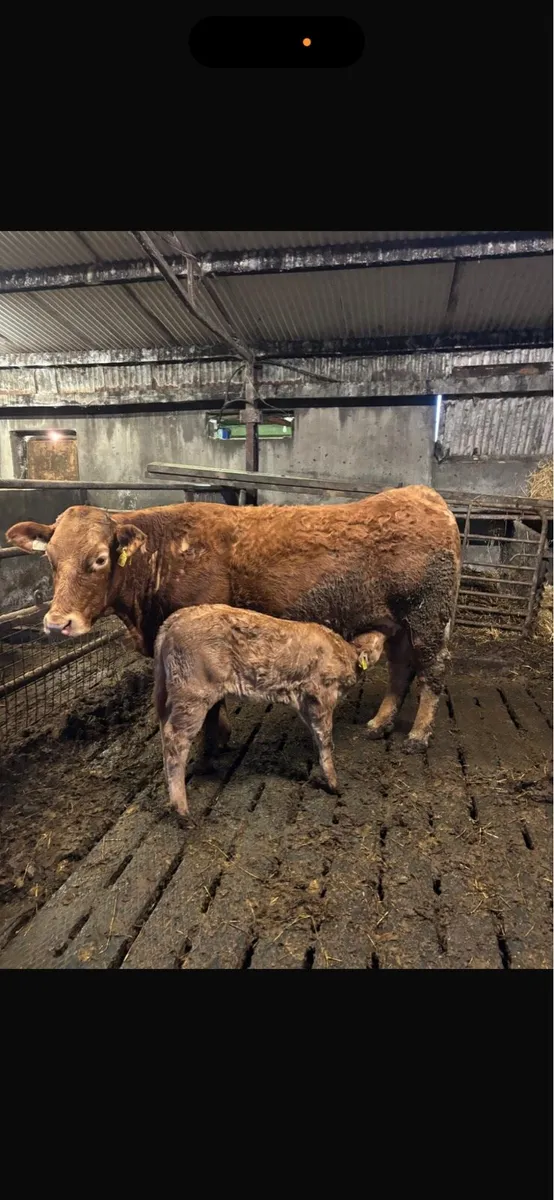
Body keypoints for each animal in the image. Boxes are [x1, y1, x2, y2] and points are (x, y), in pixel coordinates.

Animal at [6, 484, 461, 756]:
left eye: (100, 559)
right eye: (49, 559)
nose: (58, 623)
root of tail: (423, 495)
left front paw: (213, 744)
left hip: (428, 616)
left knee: (433, 671)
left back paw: (418, 735)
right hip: (398, 622)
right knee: (401, 669)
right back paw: (380, 723)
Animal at [154, 606, 385, 815]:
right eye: (378, 642)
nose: (384, 633)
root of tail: (177, 617)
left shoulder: (305, 701)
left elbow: (315, 735)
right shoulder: (321, 695)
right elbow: (325, 739)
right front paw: (333, 783)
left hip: (171, 694)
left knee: (165, 733)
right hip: (192, 695)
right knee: (175, 741)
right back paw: (182, 809)